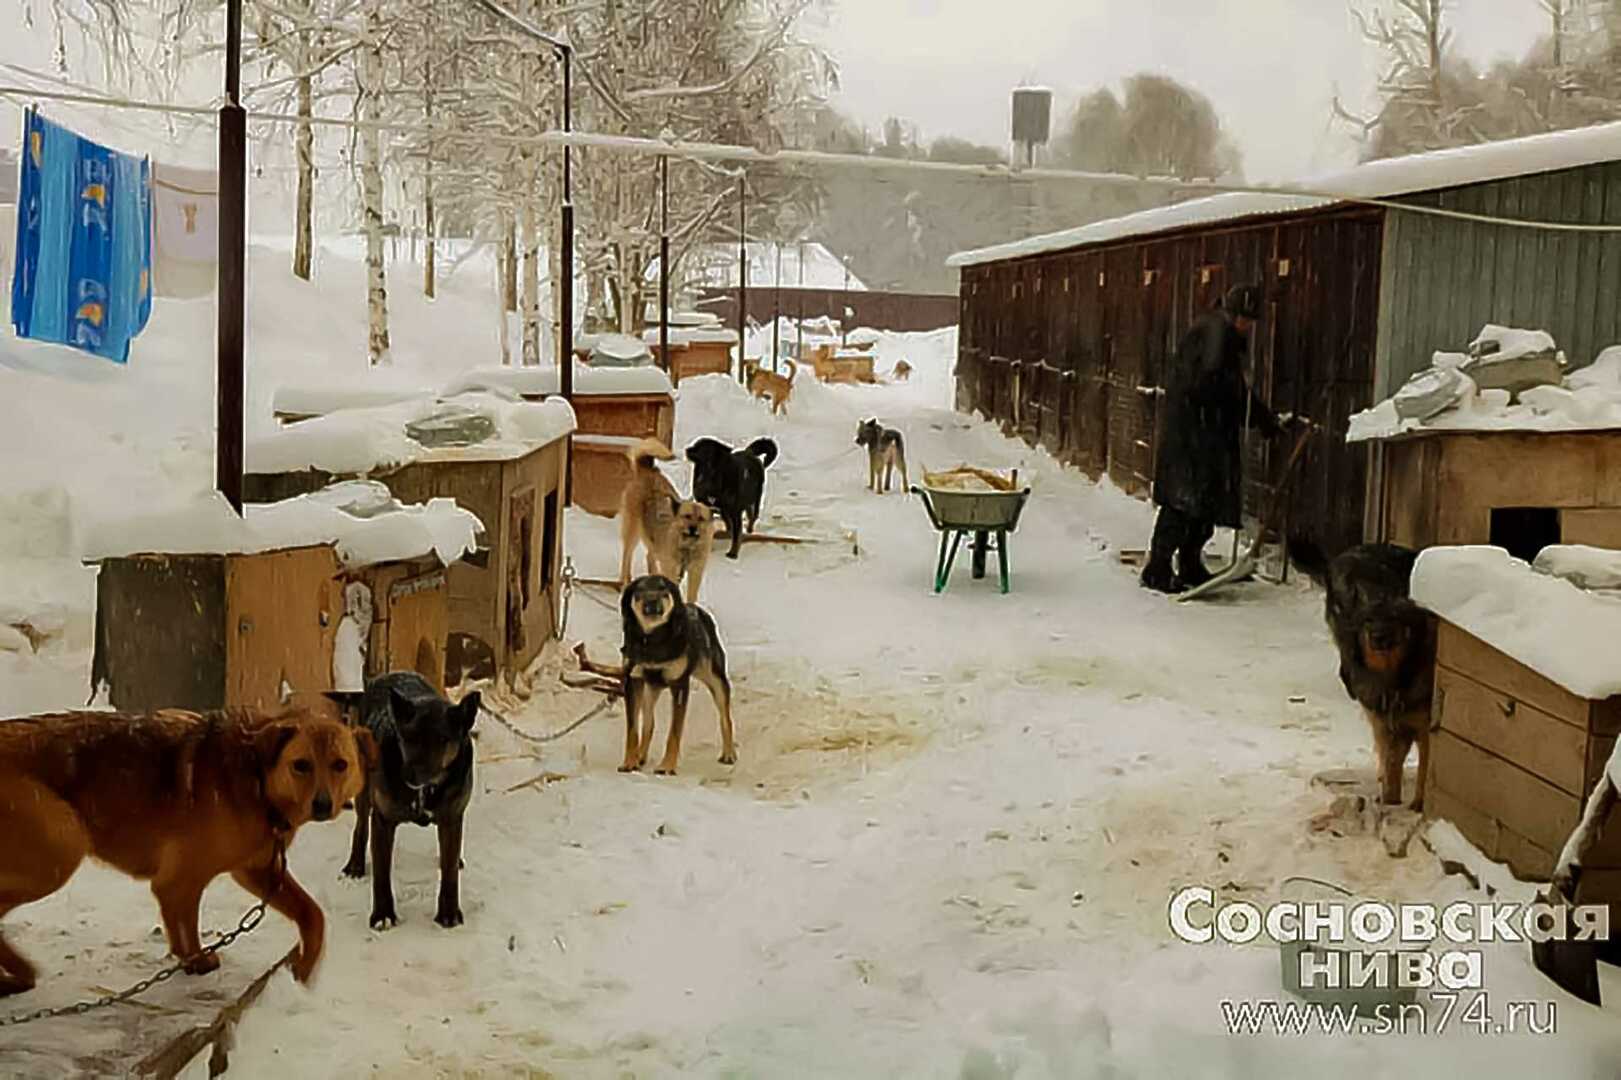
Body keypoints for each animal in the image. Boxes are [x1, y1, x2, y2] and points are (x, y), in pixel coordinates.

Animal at [0, 707, 371, 992]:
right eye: (301, 765)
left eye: (340, 765)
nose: (323, 805)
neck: (256, 775)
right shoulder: (182, 878)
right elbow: (185, 919)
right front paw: (196, 959)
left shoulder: (255, 871)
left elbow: (313, 916)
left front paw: (304, 973)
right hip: (62, 847)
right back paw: (20, 973)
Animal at [343, 674, 479, 927]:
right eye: (407, 737)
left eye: (442, 739)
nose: (408, 775)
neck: (425, 790)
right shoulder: (383, 821)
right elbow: (381, 875)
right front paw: (383, 916)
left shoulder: (451, 819)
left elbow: (449, 873)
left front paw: (448, 914)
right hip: (364, 790)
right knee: (360, 826)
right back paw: (355, 865)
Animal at [615, 570, 739, 775]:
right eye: (640, 590)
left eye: (662, 589)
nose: (652, 603)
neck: (653, 641)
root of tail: (696, 608)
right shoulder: (633, 680)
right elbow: (633, 729)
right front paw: (629, 762)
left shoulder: (680, 684)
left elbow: (675, 731)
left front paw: (666, 767)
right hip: (650, 688)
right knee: (649, 722)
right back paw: (641, 756)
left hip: (715, 678)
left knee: (725, 718)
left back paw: (729, 754)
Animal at [1283, 538, 1439, 807]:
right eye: (1368, 620)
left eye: (1394, 617)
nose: (1377, 638)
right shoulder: (1389, 727)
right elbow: (1392, 775)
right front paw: (1390, 802)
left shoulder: (1421, 730)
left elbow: (1424, 773)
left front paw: (1417, 805)